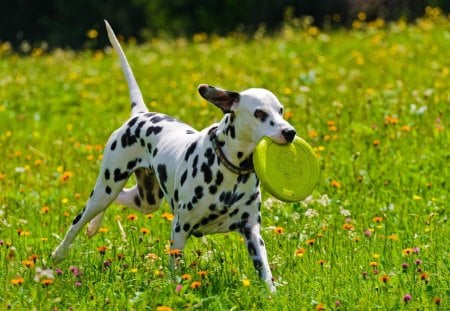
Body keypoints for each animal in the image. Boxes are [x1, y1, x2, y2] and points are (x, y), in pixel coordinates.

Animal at [51, 21, 296, 292]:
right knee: (79, 220)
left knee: (120, 198)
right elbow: (176, 271)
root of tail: (140, 114)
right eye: (259, 113)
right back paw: (59, 252)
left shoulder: (251, 230)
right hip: (106, 187)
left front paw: (272, 293)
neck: (229, 170)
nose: (290, 132)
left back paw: (94, 227)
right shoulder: (180, 229)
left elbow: (265, 271)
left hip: (146, 199)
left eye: (281, 110)